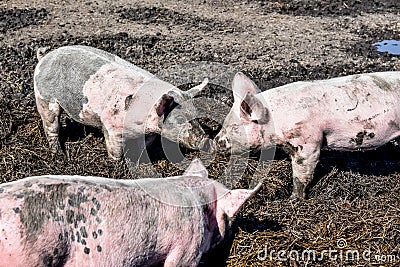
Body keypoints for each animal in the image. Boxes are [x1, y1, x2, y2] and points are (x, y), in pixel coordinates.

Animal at [34, 45, 209, 160]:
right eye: (179, 119)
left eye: (196, 115)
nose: (206, 139)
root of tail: (46, 56)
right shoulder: (112, 126)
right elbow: (115, 151)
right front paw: (116, 164)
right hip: (44, 99)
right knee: (51, 127)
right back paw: (59, 155)